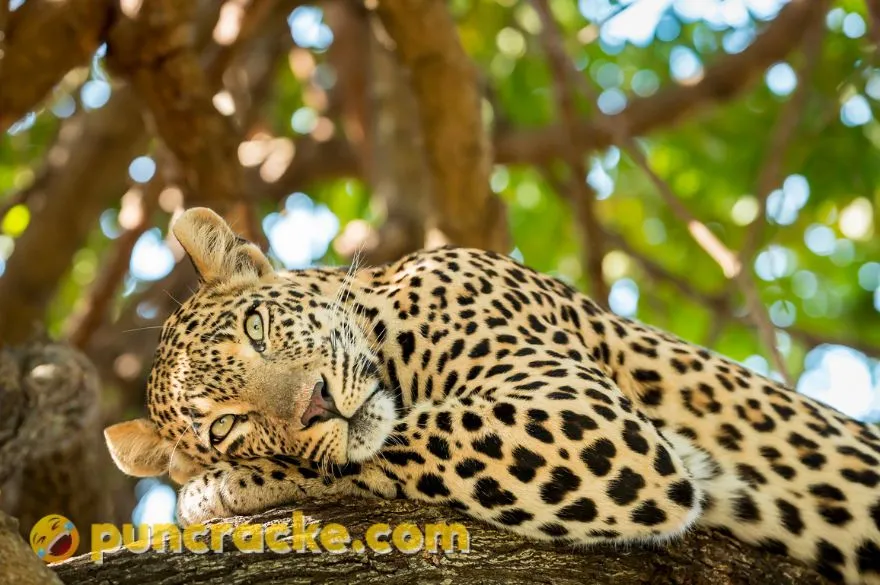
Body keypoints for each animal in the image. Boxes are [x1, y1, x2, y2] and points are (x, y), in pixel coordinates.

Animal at [105, 207, 880, 584]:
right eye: (226, 426)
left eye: (258, 328)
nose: (317, 405)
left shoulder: (584, 417)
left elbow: (410, 437)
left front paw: (219, 489)